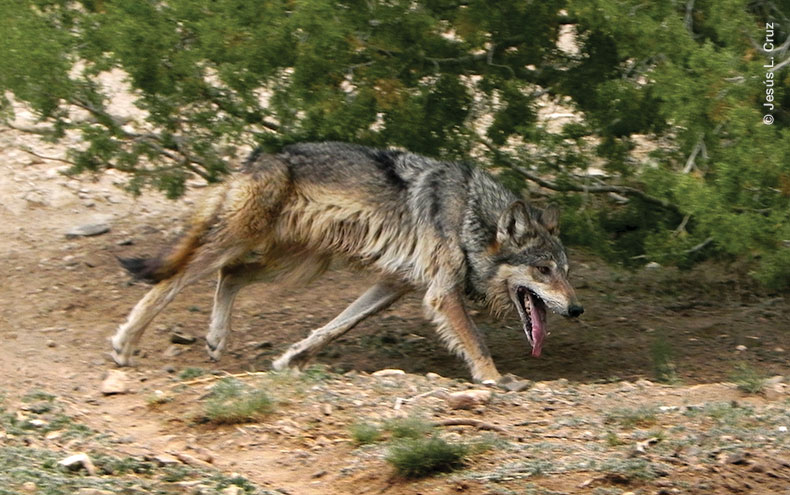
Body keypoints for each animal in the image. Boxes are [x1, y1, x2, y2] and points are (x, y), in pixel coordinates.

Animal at [111, 142, 583, 383]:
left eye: (565, 271)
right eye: (543, 270)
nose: (577, 309)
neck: (471, 217)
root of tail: (255, 158)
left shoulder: (396, 284)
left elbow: (335, 326)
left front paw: (290, 360)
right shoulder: (440, 293)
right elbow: (476, 342)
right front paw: (495, 379)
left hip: (297, 264)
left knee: (231, 275)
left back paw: (215, 338)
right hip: (239, 243)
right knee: (169, 283)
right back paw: (126, 344)